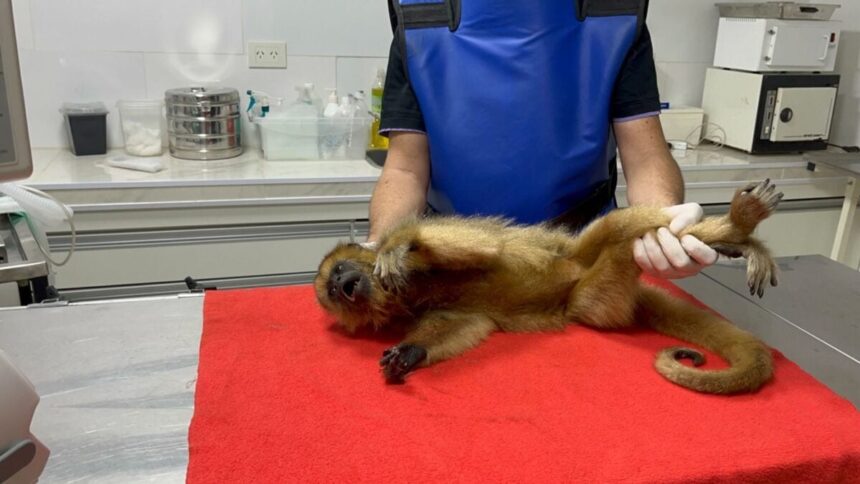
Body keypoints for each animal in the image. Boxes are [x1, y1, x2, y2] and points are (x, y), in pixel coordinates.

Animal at [314, 179, 784, 394]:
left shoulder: (428, 253)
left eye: (338, 275)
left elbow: (479, 246)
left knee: (620, 226)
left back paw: (737, 228)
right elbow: (465, 325)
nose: (345, 286)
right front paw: (409, 353)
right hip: (595, 298)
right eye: (335, 293)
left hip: (579, 249)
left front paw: (395, 247)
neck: (407, 292)